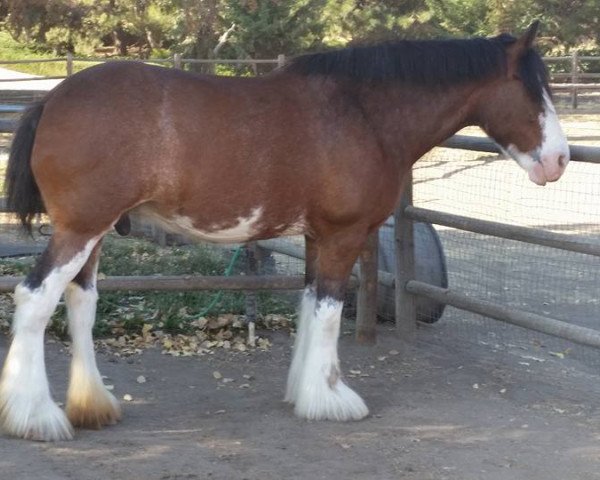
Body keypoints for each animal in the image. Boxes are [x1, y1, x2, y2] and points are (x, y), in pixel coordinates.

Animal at [2, 22, 568, 442]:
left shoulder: (317, 237)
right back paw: (36, 417)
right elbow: (329, 313)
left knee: (81, 301)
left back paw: (92, 406)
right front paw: (332, 399)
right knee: (34, 298)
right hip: (79, 229)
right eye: (532, 87)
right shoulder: (343, 235)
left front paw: (305, 391)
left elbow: (310, 306)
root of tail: (52, 99)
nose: (559, 160)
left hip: (94, 232)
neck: (362, 113)